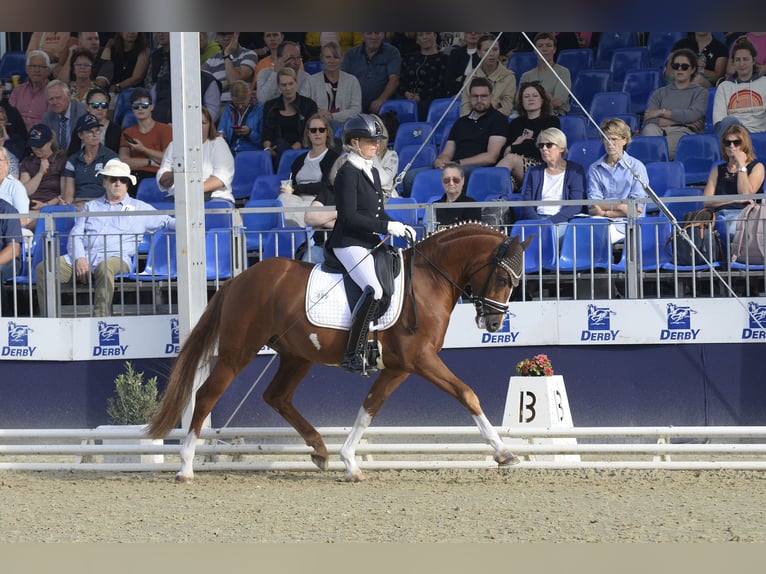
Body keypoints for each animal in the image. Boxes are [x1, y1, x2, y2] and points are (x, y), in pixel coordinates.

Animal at [147, 223, 532, 484]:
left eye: (515, 281)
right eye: (502, 278)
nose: (494, 323)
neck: (428, 281)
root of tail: (238, 279)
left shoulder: (398, 368)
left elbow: (369, 408)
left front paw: (350, 462)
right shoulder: (420, 360)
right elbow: (467, 394)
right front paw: (503, 452)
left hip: (297, 356)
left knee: (277, 396)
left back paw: (319, 449)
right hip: (237, 352)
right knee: (206, 395)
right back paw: (185, 466)